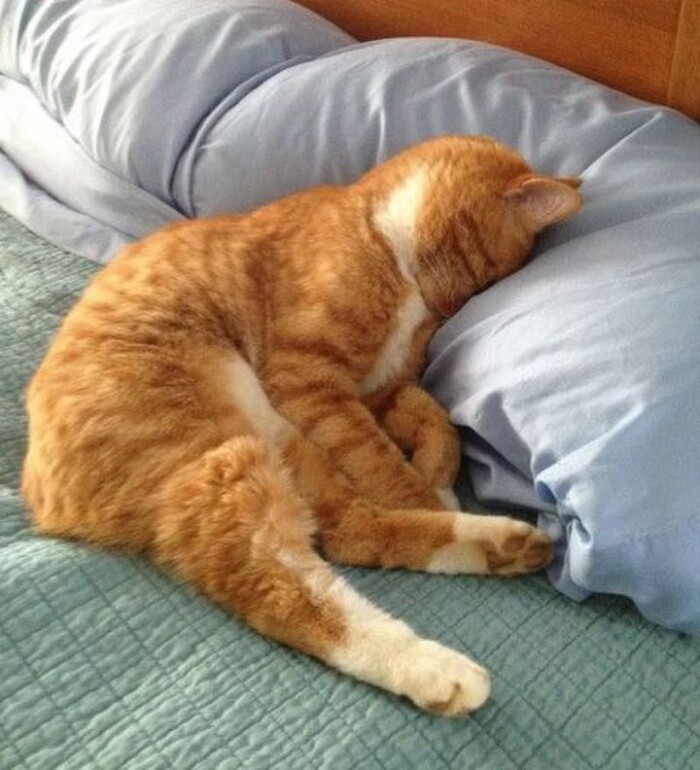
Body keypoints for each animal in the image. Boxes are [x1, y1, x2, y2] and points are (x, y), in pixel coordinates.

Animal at [22, 135, 581, 716]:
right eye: (484, 277)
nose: (448, 308)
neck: (380, 236)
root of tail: (46, 508)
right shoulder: (310, 385)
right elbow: (382, 463)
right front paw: (427, 491)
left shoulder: (377, 392)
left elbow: (434, 419)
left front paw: (438, 474)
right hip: (228, 454)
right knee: (293, 589)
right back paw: (436, 666)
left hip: (283, 443)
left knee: (350, 532)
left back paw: (502, 546)